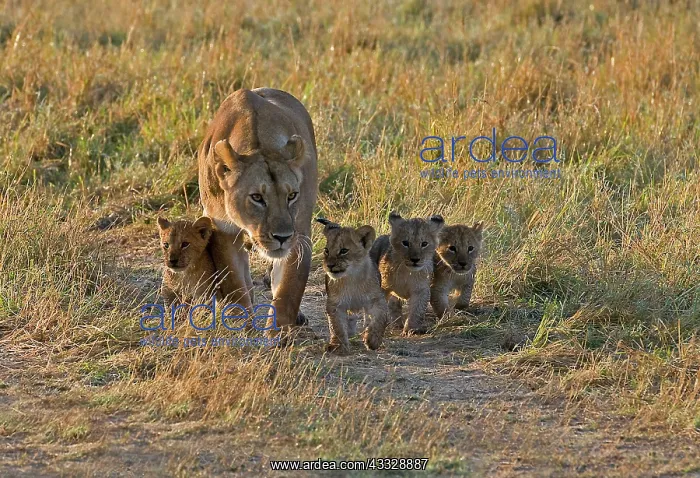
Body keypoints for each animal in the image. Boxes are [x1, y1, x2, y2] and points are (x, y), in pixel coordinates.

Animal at [197, 88, 318, 333]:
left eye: (292, 195)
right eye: (257, 197)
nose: (282, 237)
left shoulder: (299, 234)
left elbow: (288, 290)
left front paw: (278, 333)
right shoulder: (223, 228)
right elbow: (234, 282)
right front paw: (242, 326)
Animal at [317, 218, 389, 354]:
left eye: (344, 251)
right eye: (326, 250)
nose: (330, 265)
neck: (351, 278)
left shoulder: (377, 299)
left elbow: (380, 319)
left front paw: (373, 340)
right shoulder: (335, 304)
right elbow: (337, 326)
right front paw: (337, 346)